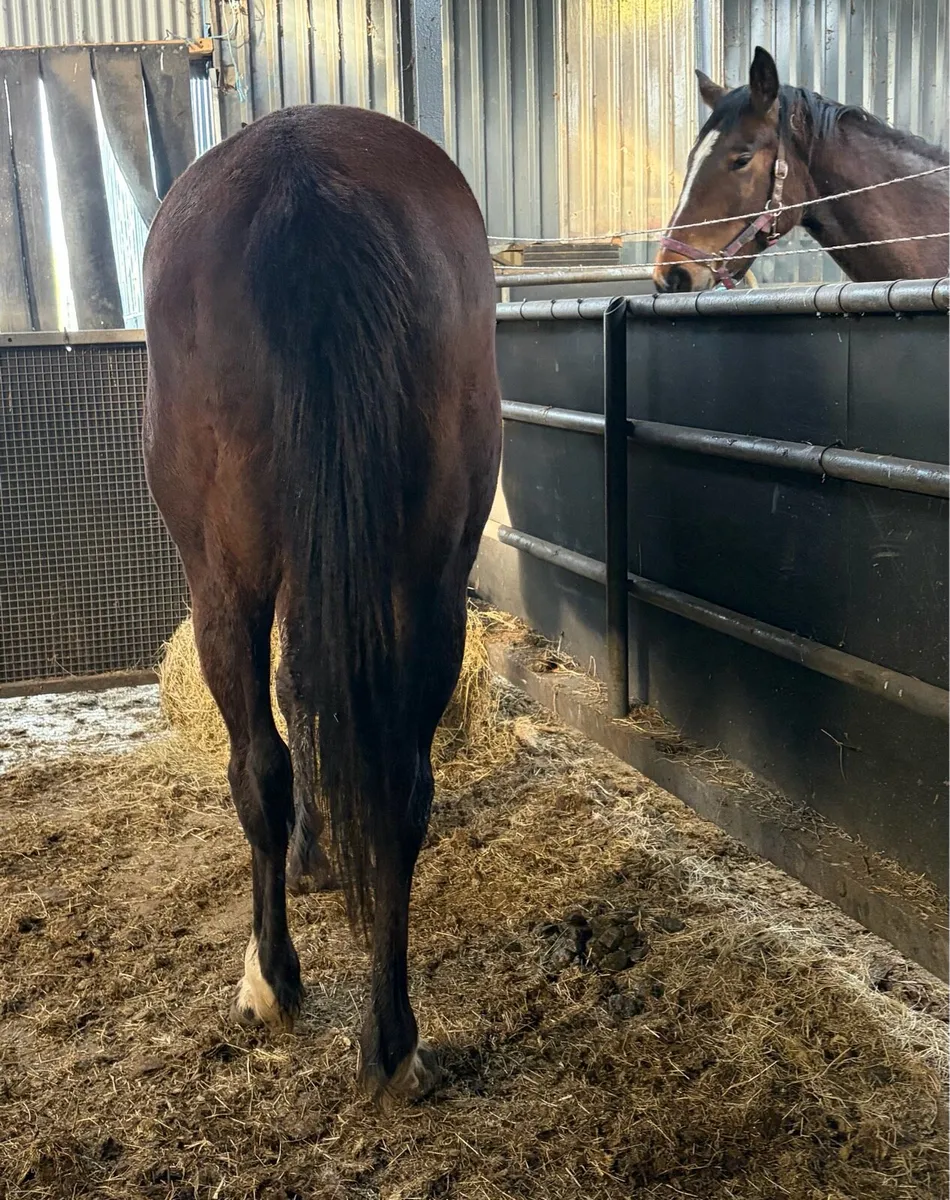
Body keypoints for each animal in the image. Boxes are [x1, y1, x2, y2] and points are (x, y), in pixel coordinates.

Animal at [142, 104, 502, 1108]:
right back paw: (393, 1040)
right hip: (428, 585)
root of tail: (301, 177)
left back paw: (274, 981)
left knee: (257, 768)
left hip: (221, 583)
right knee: (399, 783)